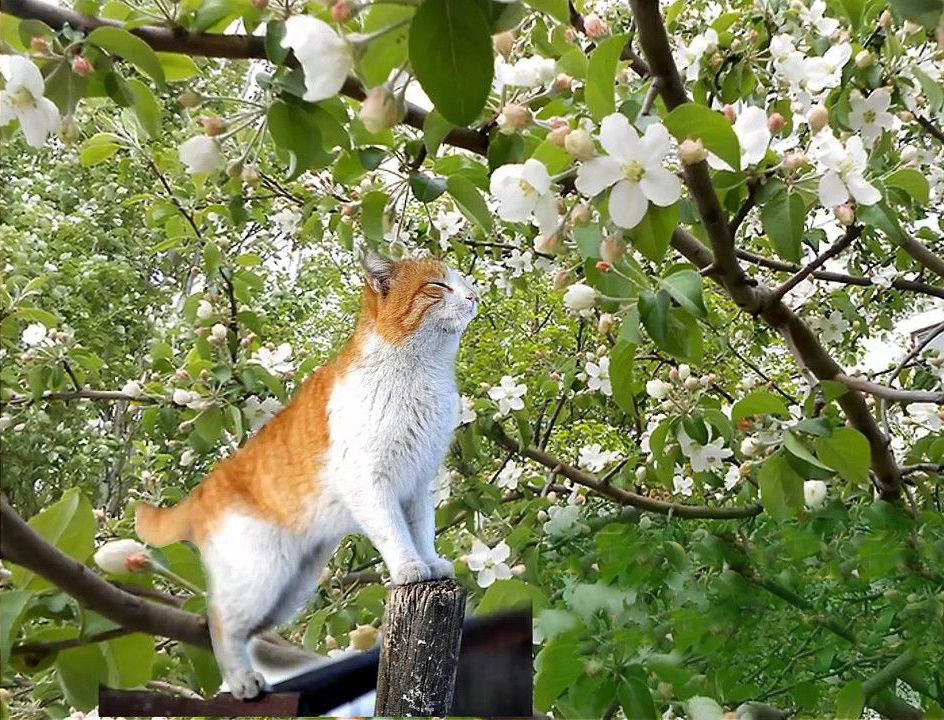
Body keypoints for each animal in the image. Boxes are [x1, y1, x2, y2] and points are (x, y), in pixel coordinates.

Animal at [133, 252, 480, 696]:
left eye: (464, 281)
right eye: (438, 286)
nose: (473, 295)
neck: (421, 376)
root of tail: (204, 488)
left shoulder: (418, 484)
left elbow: (422, 530)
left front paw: (431, 562)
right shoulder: (369, 482)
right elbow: (393, 531)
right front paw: (408, 567)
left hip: (291, 588)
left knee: (252, 631)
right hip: (261, 576)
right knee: (220, 621)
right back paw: (243, 680)